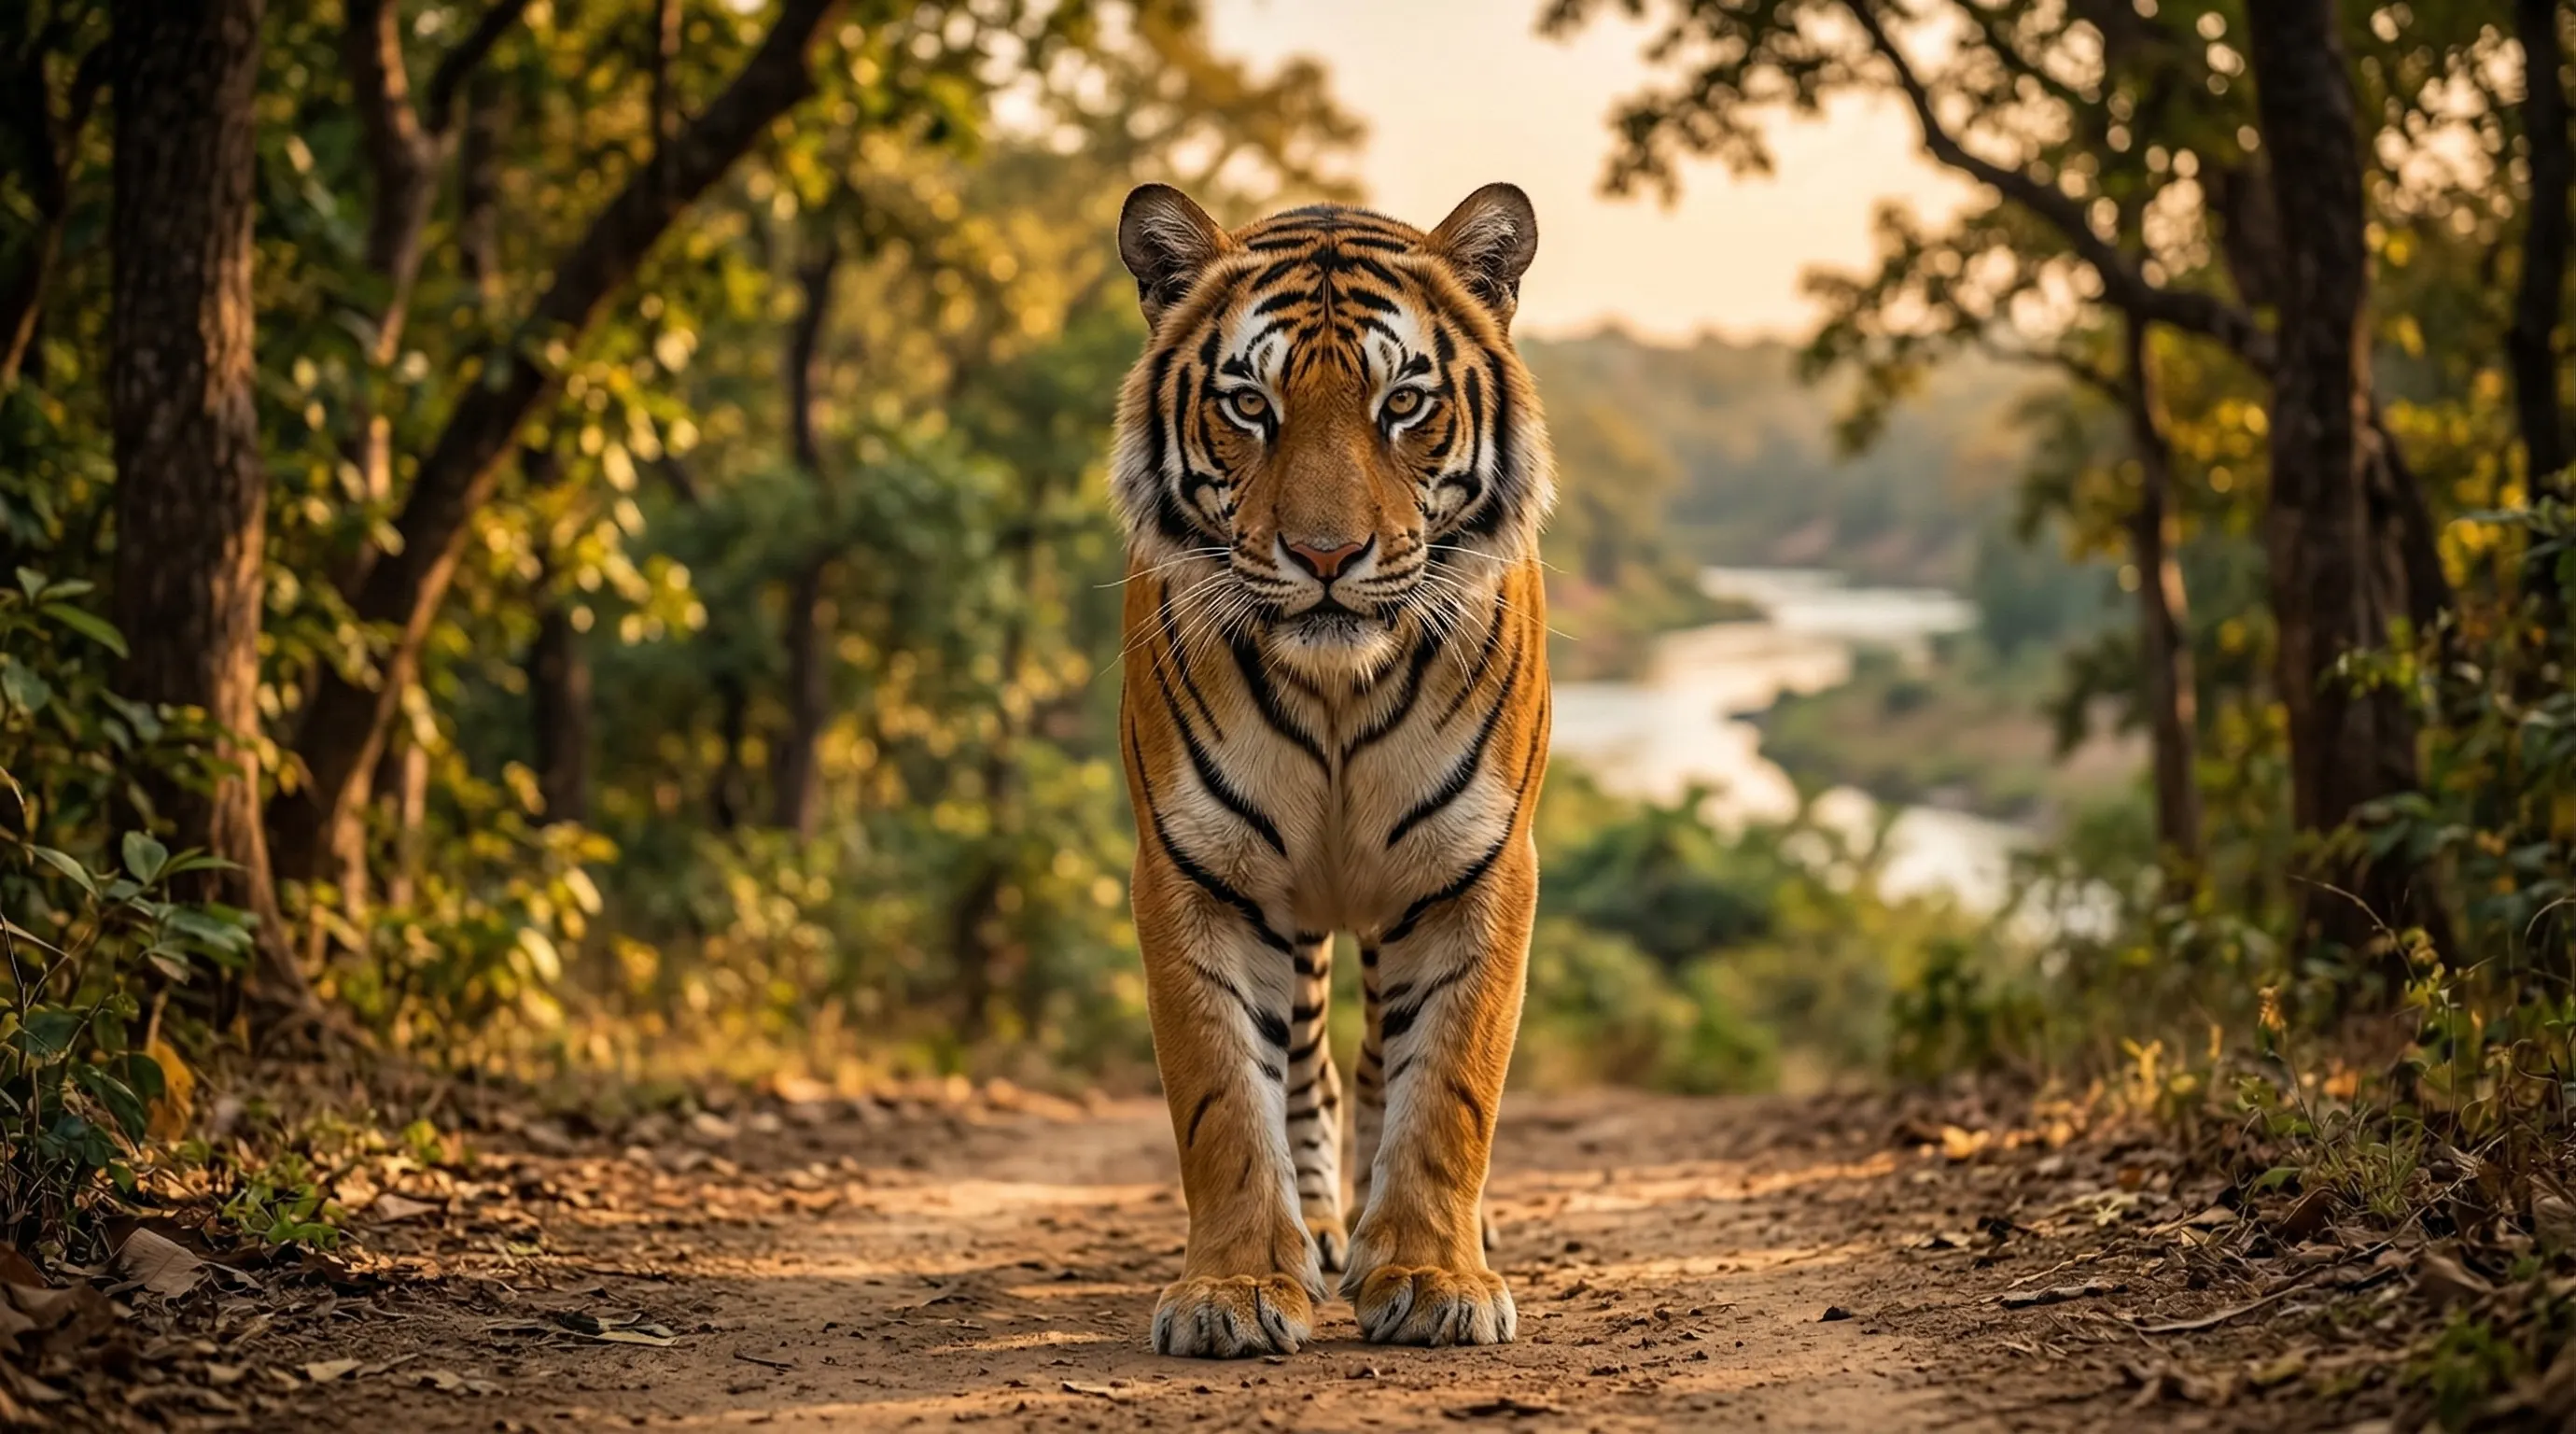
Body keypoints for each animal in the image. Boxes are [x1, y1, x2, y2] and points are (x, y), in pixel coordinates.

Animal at [1108, 181, 1553, 1358]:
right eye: (1248, 405)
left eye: (1403, 402)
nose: (1322, 556)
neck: (1340, 687)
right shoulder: (1197, 872)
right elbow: (1223, 1096)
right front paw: (1232, 1290)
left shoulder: (1477, 869)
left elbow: (1449, 1087)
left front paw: (1437, 1276)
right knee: (1306, 1070)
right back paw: (1315, 1235)